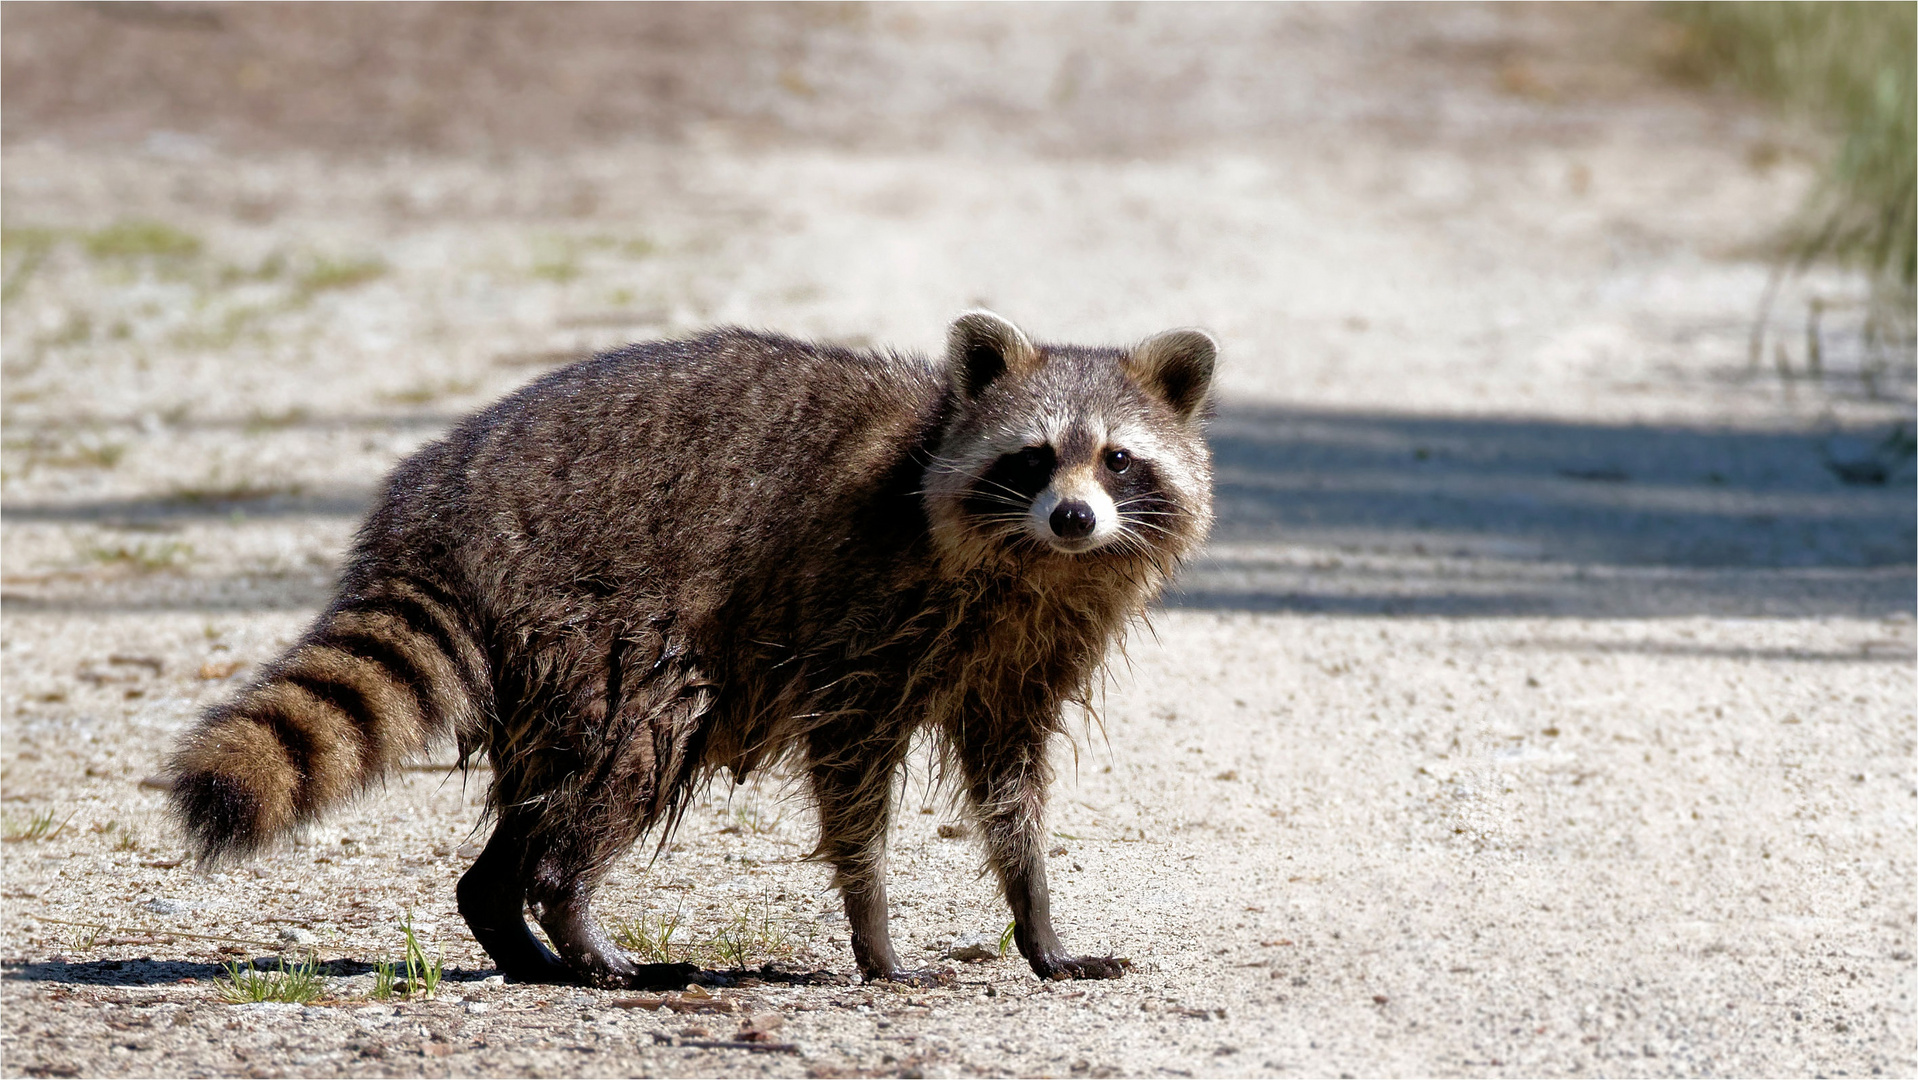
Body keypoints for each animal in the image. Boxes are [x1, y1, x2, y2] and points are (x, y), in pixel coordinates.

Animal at [168, 312, 1212, 989]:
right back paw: (569, 911)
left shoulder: (1023, 656)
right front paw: (874, 930)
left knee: (560, 781)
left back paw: (507, 917)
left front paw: (1036, 917)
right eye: (1032, 460)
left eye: (1118, 459)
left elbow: (1010, 787)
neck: (1038, 566)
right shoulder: (863, 614)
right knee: (641, 742)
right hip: (592, 610)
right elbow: (851, 781)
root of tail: (431, 512)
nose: (1074, 518)